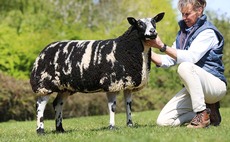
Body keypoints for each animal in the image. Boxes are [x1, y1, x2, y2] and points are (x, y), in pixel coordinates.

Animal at [30, 12, 165, 134]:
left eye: (154, 22)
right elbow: (112, 107)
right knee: (40, 106)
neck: (125, 48)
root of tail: (43, 51)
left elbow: (128, 105)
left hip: (64, 87)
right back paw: (40, 130)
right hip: (44, 83)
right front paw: (112, 127)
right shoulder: (112, 83)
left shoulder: (127, 84)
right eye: (140, 24)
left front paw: (130, 124)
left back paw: (60, 129)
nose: (153, 32)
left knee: (57, 104)